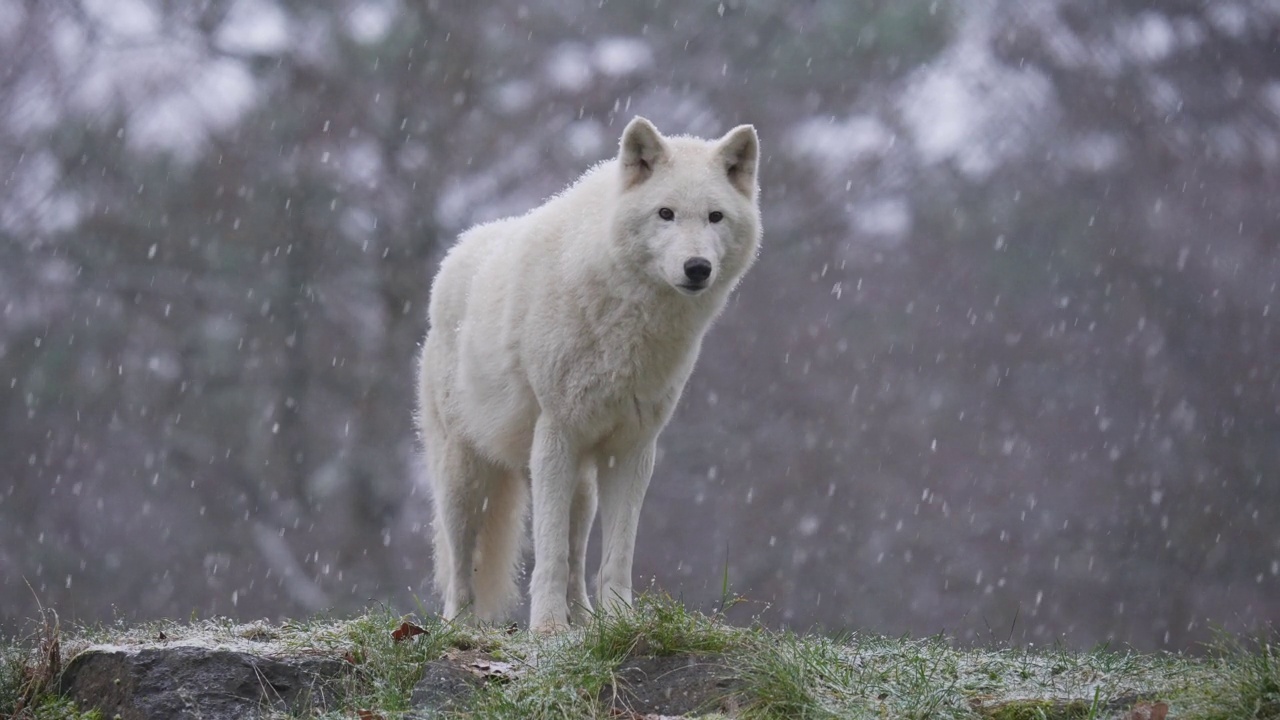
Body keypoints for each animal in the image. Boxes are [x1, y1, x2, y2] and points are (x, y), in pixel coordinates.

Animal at [417, 113, 757, 627]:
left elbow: (615, 555)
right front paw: (548, 629)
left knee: (576, 556)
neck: (630, 319)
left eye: (715, 217)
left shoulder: (632, 449)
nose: (697, 267)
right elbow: (549, 555)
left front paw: (619, 623)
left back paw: (584, 619)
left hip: (579, 487)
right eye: (665, 213)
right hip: (467, 478)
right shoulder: (557, 434)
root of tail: (456, 252)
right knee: (460, 566)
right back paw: (460, 625)